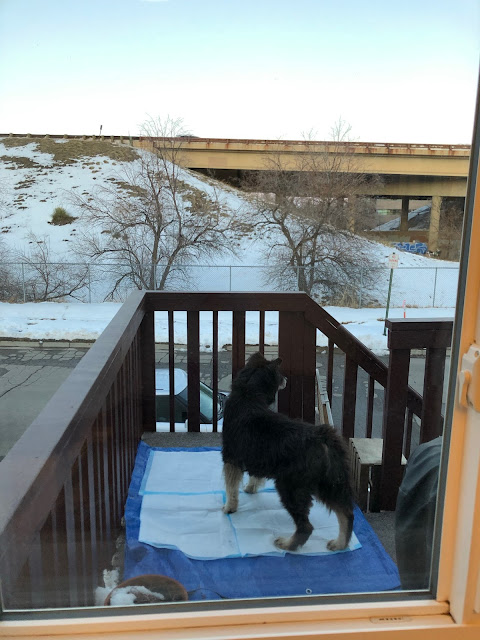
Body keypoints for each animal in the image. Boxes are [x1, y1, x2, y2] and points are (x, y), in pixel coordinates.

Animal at [221, 352, 352, 552]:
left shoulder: (231, 457)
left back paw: (287, 544)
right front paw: (251, 488)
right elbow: (254, 476)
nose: (286, 379)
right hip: (329, 483)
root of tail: (323, 438)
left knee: (306, 526)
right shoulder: (256, 456)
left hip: (290, 486)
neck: (248, 395)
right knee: (345, 513)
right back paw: (339, 543)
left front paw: (229, 507)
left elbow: (231, 488)